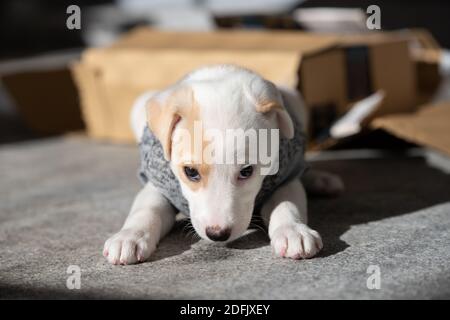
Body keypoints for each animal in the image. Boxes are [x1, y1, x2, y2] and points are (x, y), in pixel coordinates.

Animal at [103, 65, 342, 264]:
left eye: (247, 171)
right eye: (190, 172)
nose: (217, 235)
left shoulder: (285, 177)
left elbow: (287, 204)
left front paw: (293, 231)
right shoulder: (158, 183)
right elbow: (146, 209)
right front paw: (129, 237)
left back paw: (321, 180)